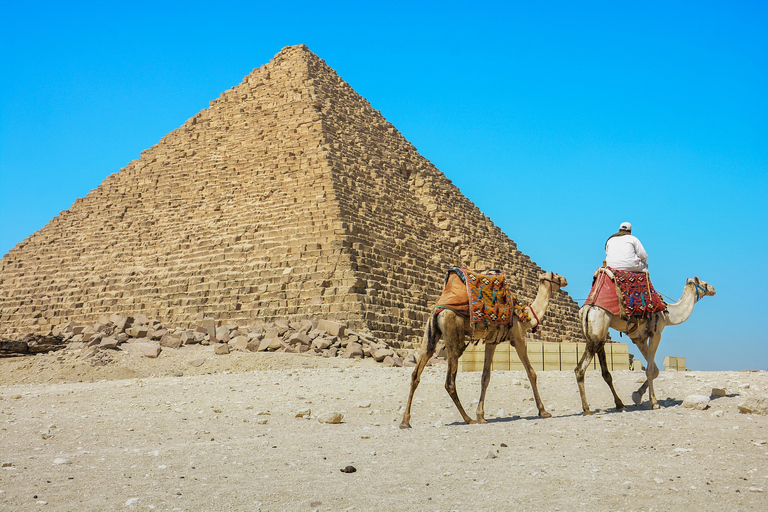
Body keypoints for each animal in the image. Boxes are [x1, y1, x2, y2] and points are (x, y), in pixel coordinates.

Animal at [400, 270, 568, 430]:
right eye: (556, 277)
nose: (565, 280)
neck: (525, 316)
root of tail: (439, 310)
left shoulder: (491, 341)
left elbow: (485, 377)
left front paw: (481, 415)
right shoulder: (518, 338)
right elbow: (531, 373)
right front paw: (543, 411)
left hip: (430, 333)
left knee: (416, 373)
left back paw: (405, 421)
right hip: (453, 335)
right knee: (449, 382)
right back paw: (468, 419)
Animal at [576, 276, 712, 412]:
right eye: (705, 284)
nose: (713, 289)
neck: (668, 314)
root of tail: (586, 309)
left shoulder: (638, 339)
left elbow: (655, 370)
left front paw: (637, 395)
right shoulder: (656, 333)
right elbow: (650, 370)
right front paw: (654, 403)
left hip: (598, 334)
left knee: (605, 372)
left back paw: (619, 404)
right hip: (597, 332)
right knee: (580, 369)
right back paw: (587, 409)